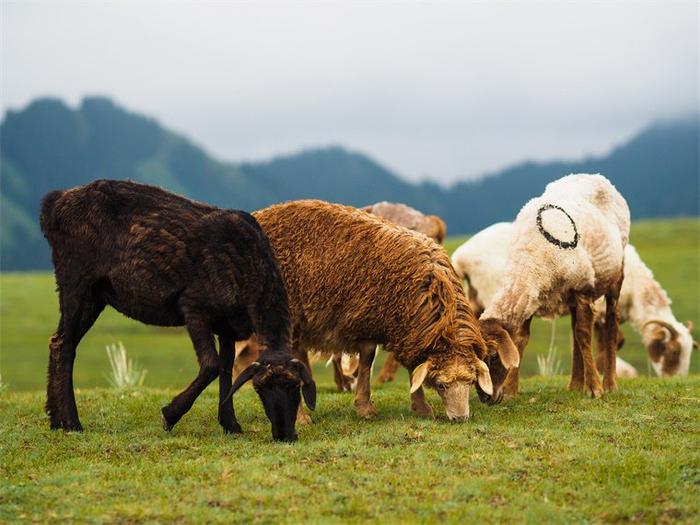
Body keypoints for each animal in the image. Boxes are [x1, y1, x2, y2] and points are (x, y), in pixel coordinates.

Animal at [38, 178, 312, 440]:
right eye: (259, 388)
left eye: (296, 387)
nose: (285, 435)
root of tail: (54, 204)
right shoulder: (194, 307)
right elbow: (211, 366)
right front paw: (169, 415)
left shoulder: (227, 325)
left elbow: (225, 370)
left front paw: (231, 425)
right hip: (76, 281)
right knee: (64, 346)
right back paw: (71, 422)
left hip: (95, 294)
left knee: (58, 342)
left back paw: (55, 419)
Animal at [452, 221, 696, 376]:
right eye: (673, 352)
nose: (675, 380)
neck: (636, 292)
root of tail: (462, 256)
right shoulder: (600, 309)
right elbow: (614, 340)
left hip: (474, 298)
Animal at [474, 174, 632, 400]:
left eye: (494, 357)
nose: (486, 398)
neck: (528, 259)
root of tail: (596, 176)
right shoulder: (530, 295)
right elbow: (522, 339)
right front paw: (511, 389)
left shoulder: (583, 288)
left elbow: (585, 335)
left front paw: (594, 388)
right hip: (571, 295)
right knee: (575, 331)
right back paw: (575, 383)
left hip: (615, 276)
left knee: (610, 323)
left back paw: (609, 383)